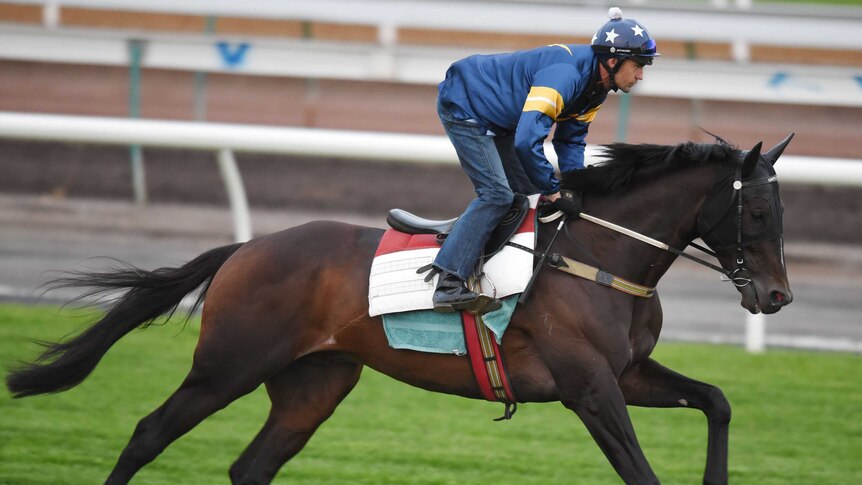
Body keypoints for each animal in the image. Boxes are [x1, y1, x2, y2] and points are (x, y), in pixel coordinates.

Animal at [5, 134, 796, 484]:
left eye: (781, 210)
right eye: (757, 212)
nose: (778, 296)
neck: (600, 255)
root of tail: (246, 247)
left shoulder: (627, 373)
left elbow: (717, 400)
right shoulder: (590, 387)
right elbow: (640, 470)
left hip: (314, 383)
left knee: (249, 467)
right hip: (227, 364)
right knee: (148, 434)